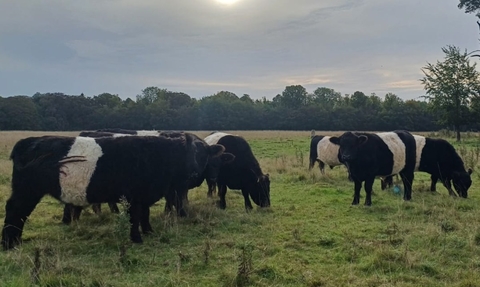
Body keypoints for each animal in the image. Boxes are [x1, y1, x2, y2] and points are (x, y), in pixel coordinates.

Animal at [0, 133, 226, 250]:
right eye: (188, 153)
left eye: (204, 154)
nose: (194, 172)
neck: (156, 156)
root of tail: (28, 141)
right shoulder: (134, 197)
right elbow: (135, 217)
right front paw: (137, 238)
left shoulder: (145, 196)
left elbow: (145, 215)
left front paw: (149, 232)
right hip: (26, 191)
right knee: (15, 210)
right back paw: (9, 243)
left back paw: (15, 241)